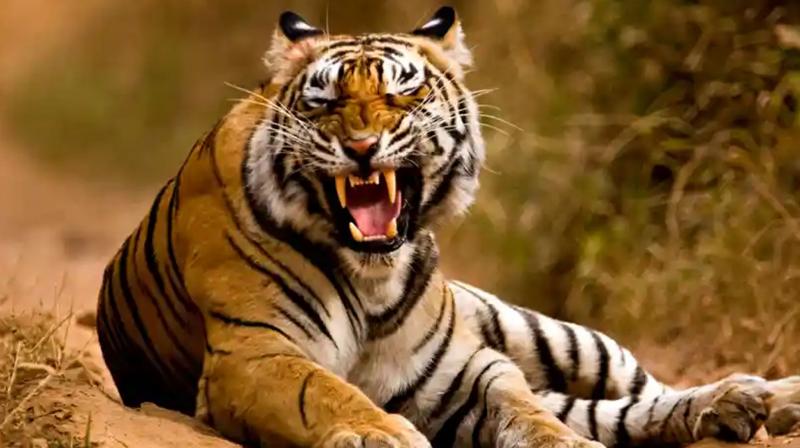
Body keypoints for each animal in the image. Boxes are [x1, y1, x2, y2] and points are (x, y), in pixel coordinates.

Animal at [96, 6, 800, 448]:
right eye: (325, 102)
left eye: (402, 93)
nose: (361, 146)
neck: (370, 278)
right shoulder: (255, 353)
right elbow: (321, 391)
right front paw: (381, 433)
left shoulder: (465, 370)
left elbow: (532, 415)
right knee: (613, 410)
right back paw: (740, 407)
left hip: (549, 333)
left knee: (636, 387)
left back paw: (759, 397)